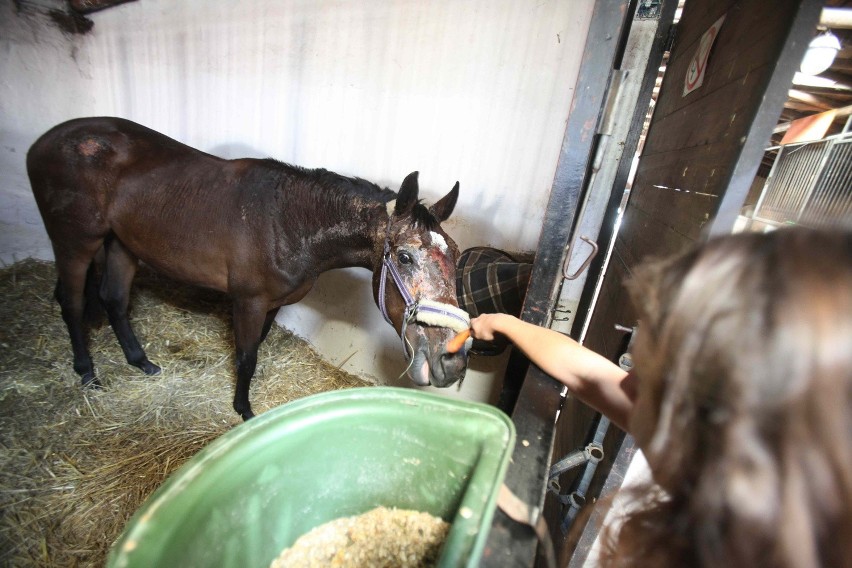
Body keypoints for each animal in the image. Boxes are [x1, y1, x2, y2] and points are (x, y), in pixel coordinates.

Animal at [26, 116, 470, 418]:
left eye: (455, 253)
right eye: (405, 257)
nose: (452, 359)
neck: (287, 221)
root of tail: (42, 143)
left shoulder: (273, 304)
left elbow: (254, 350)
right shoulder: (248, 301)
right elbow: (245, 357)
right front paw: (244, 411)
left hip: (121, 244)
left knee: (115, 301)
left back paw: (142, 362)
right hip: (76, 243)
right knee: (72, 303)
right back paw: (87, 373)